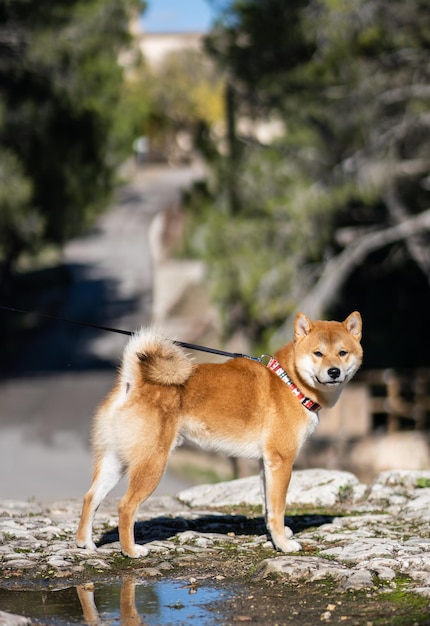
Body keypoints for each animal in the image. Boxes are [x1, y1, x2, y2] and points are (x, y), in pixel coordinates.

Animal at [75, 312, 362, 556]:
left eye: (342, 353)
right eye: (318, 353)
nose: (334, 371)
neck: (290, 381)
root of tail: (132, 383)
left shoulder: (266, 463)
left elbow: (268, 506)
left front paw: (275, 535)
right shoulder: (282, 460)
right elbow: (278, 508)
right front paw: (283, 544)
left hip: (114, 461)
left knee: (90, 497)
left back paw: (84, 543)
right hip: (152, 464)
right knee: (125, 506)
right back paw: (131, 551)